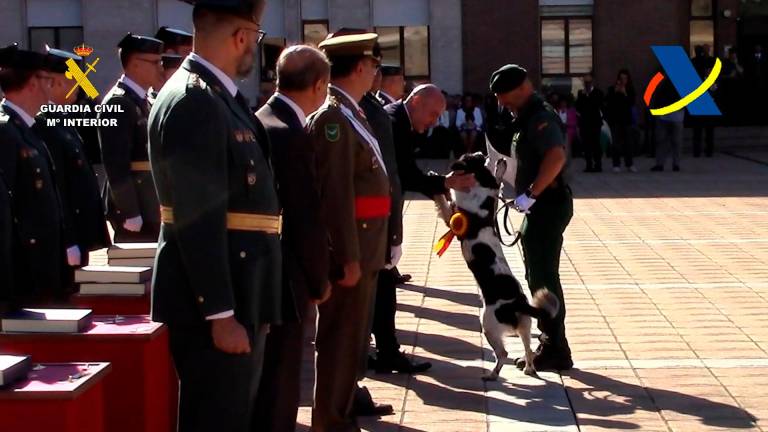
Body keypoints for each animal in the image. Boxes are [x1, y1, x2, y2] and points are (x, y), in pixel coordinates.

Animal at [448, 153, 560, 382]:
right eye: (473, 157)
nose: (483, 153)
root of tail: (519, 303)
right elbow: (494, 181)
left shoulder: (484, 197)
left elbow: (493, 182)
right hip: (523, 326)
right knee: (525, 351)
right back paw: (526, 369)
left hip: (489, 325)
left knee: (504, 353)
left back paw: (493, 374)